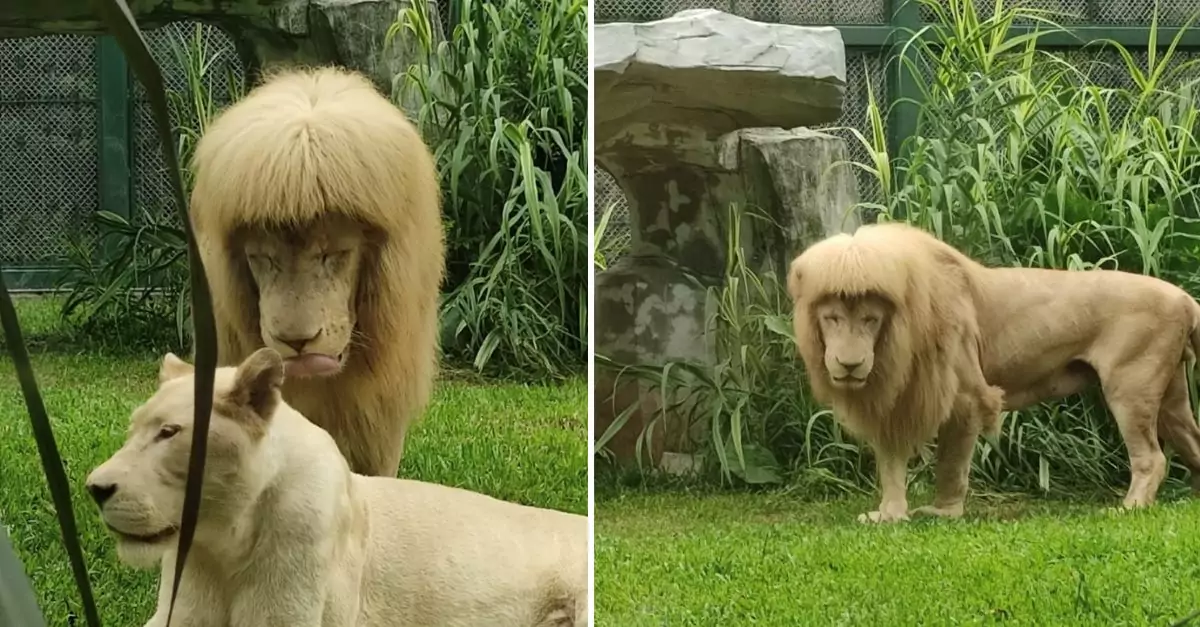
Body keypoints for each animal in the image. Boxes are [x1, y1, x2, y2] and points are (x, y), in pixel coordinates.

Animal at [787, 224, 1003, 521]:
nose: (850, 364)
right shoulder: (889, 404)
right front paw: (888, 514)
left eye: (871, 320)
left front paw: (944, 511)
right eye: (832, 318)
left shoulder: (966, 394)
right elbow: (890, 464)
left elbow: (952, 460)